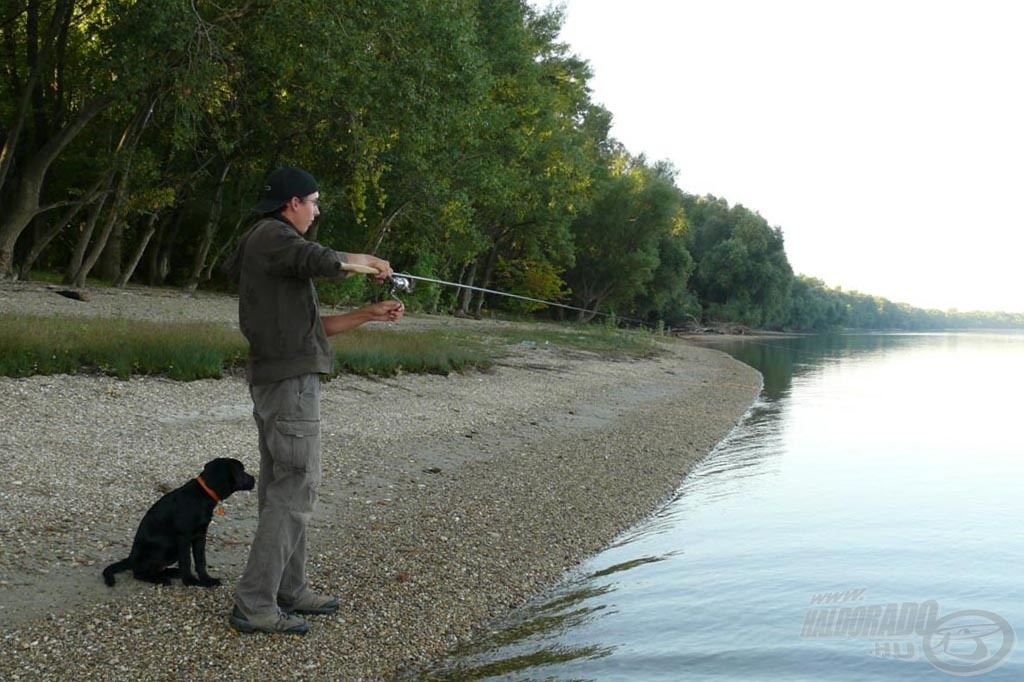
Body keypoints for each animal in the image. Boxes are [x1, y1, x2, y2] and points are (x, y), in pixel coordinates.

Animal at [103, 456, 256, 585]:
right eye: (242, 471)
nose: (254, 479)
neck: (202, 494)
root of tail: (130, 559)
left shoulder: (200, 535)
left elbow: (201, 560)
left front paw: (207, 580)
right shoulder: (184, 537)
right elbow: (187, 560)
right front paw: (190, 581)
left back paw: (172, 572)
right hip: (164, 547)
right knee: (139, 572)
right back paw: (160, 579)